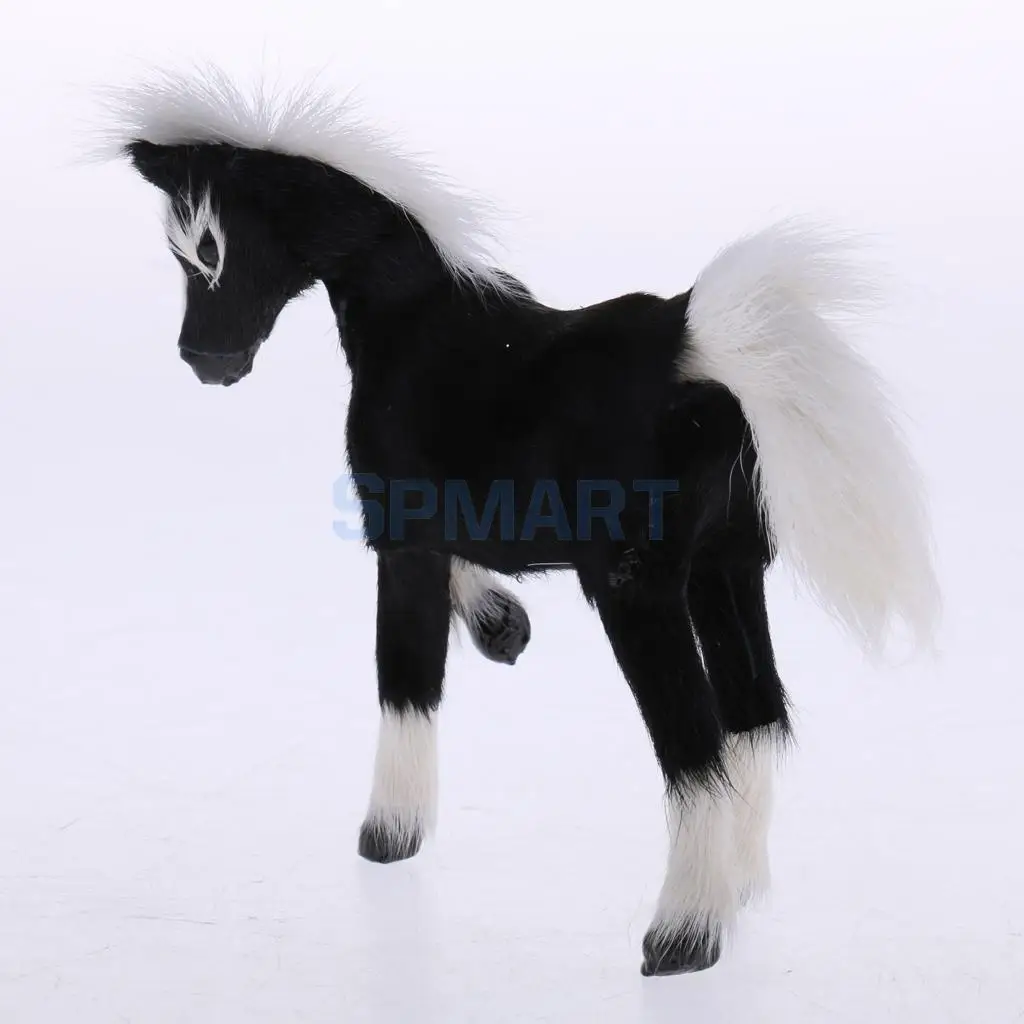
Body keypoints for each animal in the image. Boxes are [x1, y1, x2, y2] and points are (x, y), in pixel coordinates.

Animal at [97, 67, 939, 977]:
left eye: (208, 249)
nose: (205, 363)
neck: (417, 325)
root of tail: (698, 347)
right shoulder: (458, 520)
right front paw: (505, 627)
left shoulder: (401, 535)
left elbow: (406, 681)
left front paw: (389, 835)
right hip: (729, 568)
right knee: (755, 720)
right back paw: (738, 891)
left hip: (639, 590)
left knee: (696, 750)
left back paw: (683, 937)